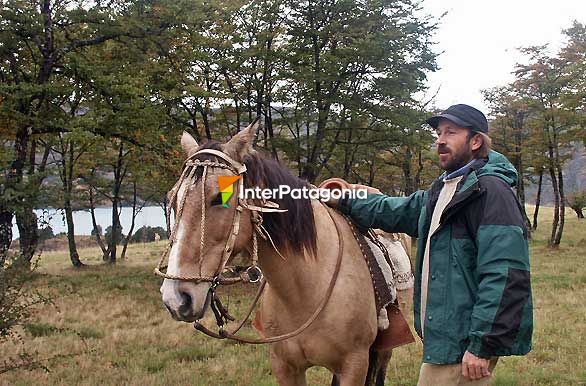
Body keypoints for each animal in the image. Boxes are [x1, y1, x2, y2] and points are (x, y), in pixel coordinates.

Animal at [155, 121, 402, 386]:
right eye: (172, 199)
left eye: (218, 197)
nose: (176, 298)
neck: (305, 289)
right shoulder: (285, 367)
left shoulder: (353, 366)